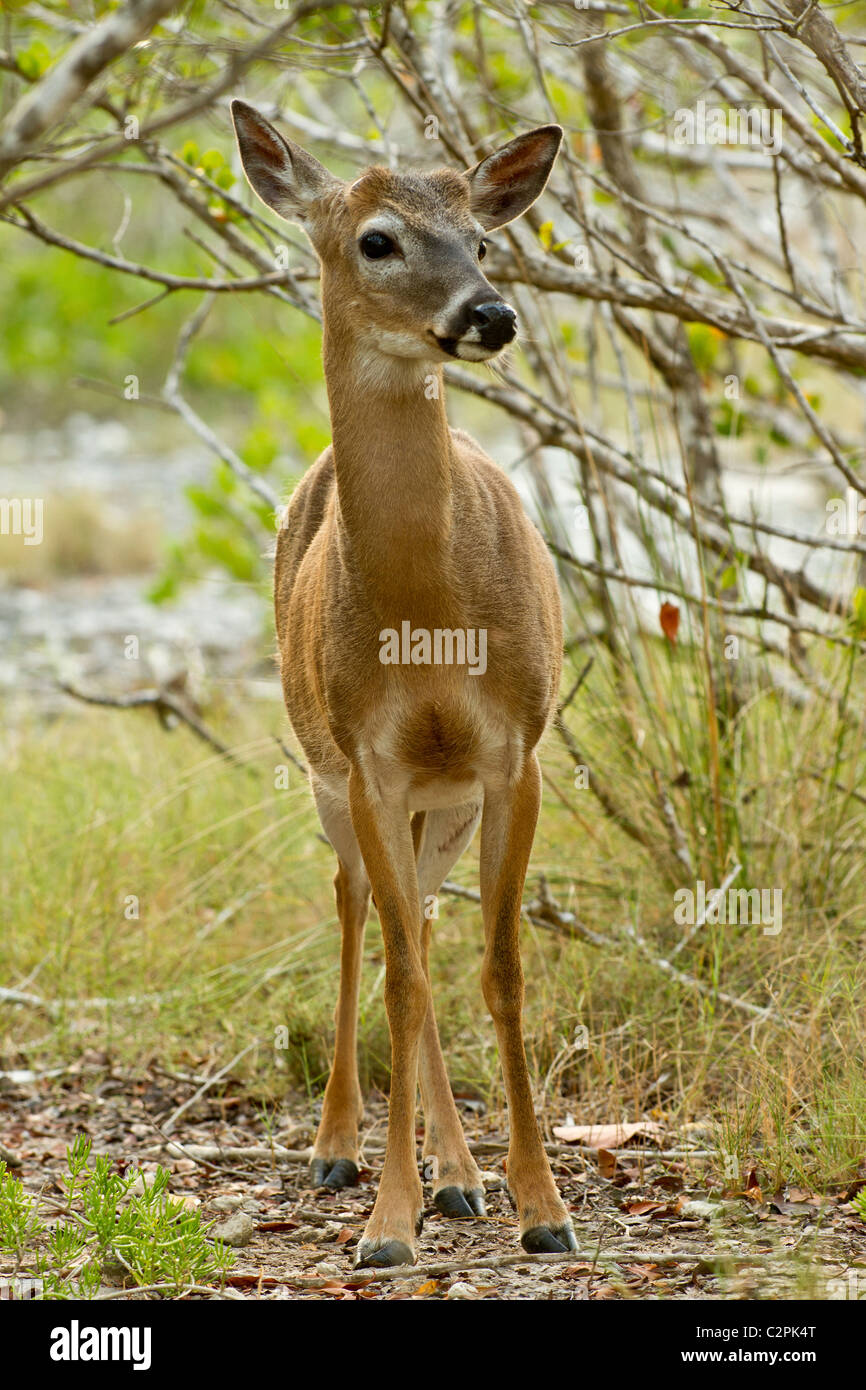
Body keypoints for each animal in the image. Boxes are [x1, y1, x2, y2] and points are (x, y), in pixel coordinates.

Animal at [231, 98, 576, 1268]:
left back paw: (461, 1178)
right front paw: (386, 1223)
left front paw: (540, 1206)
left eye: (481, 239)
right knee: (362, 919)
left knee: (420, 924)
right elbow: (398, 975)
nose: (491, 314)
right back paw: (342, 1151)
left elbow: (499, 970)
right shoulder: (371, 761)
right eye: (377, 239)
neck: (429, 619)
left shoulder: (513, 753)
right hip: (325, 770)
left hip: (446, 800)